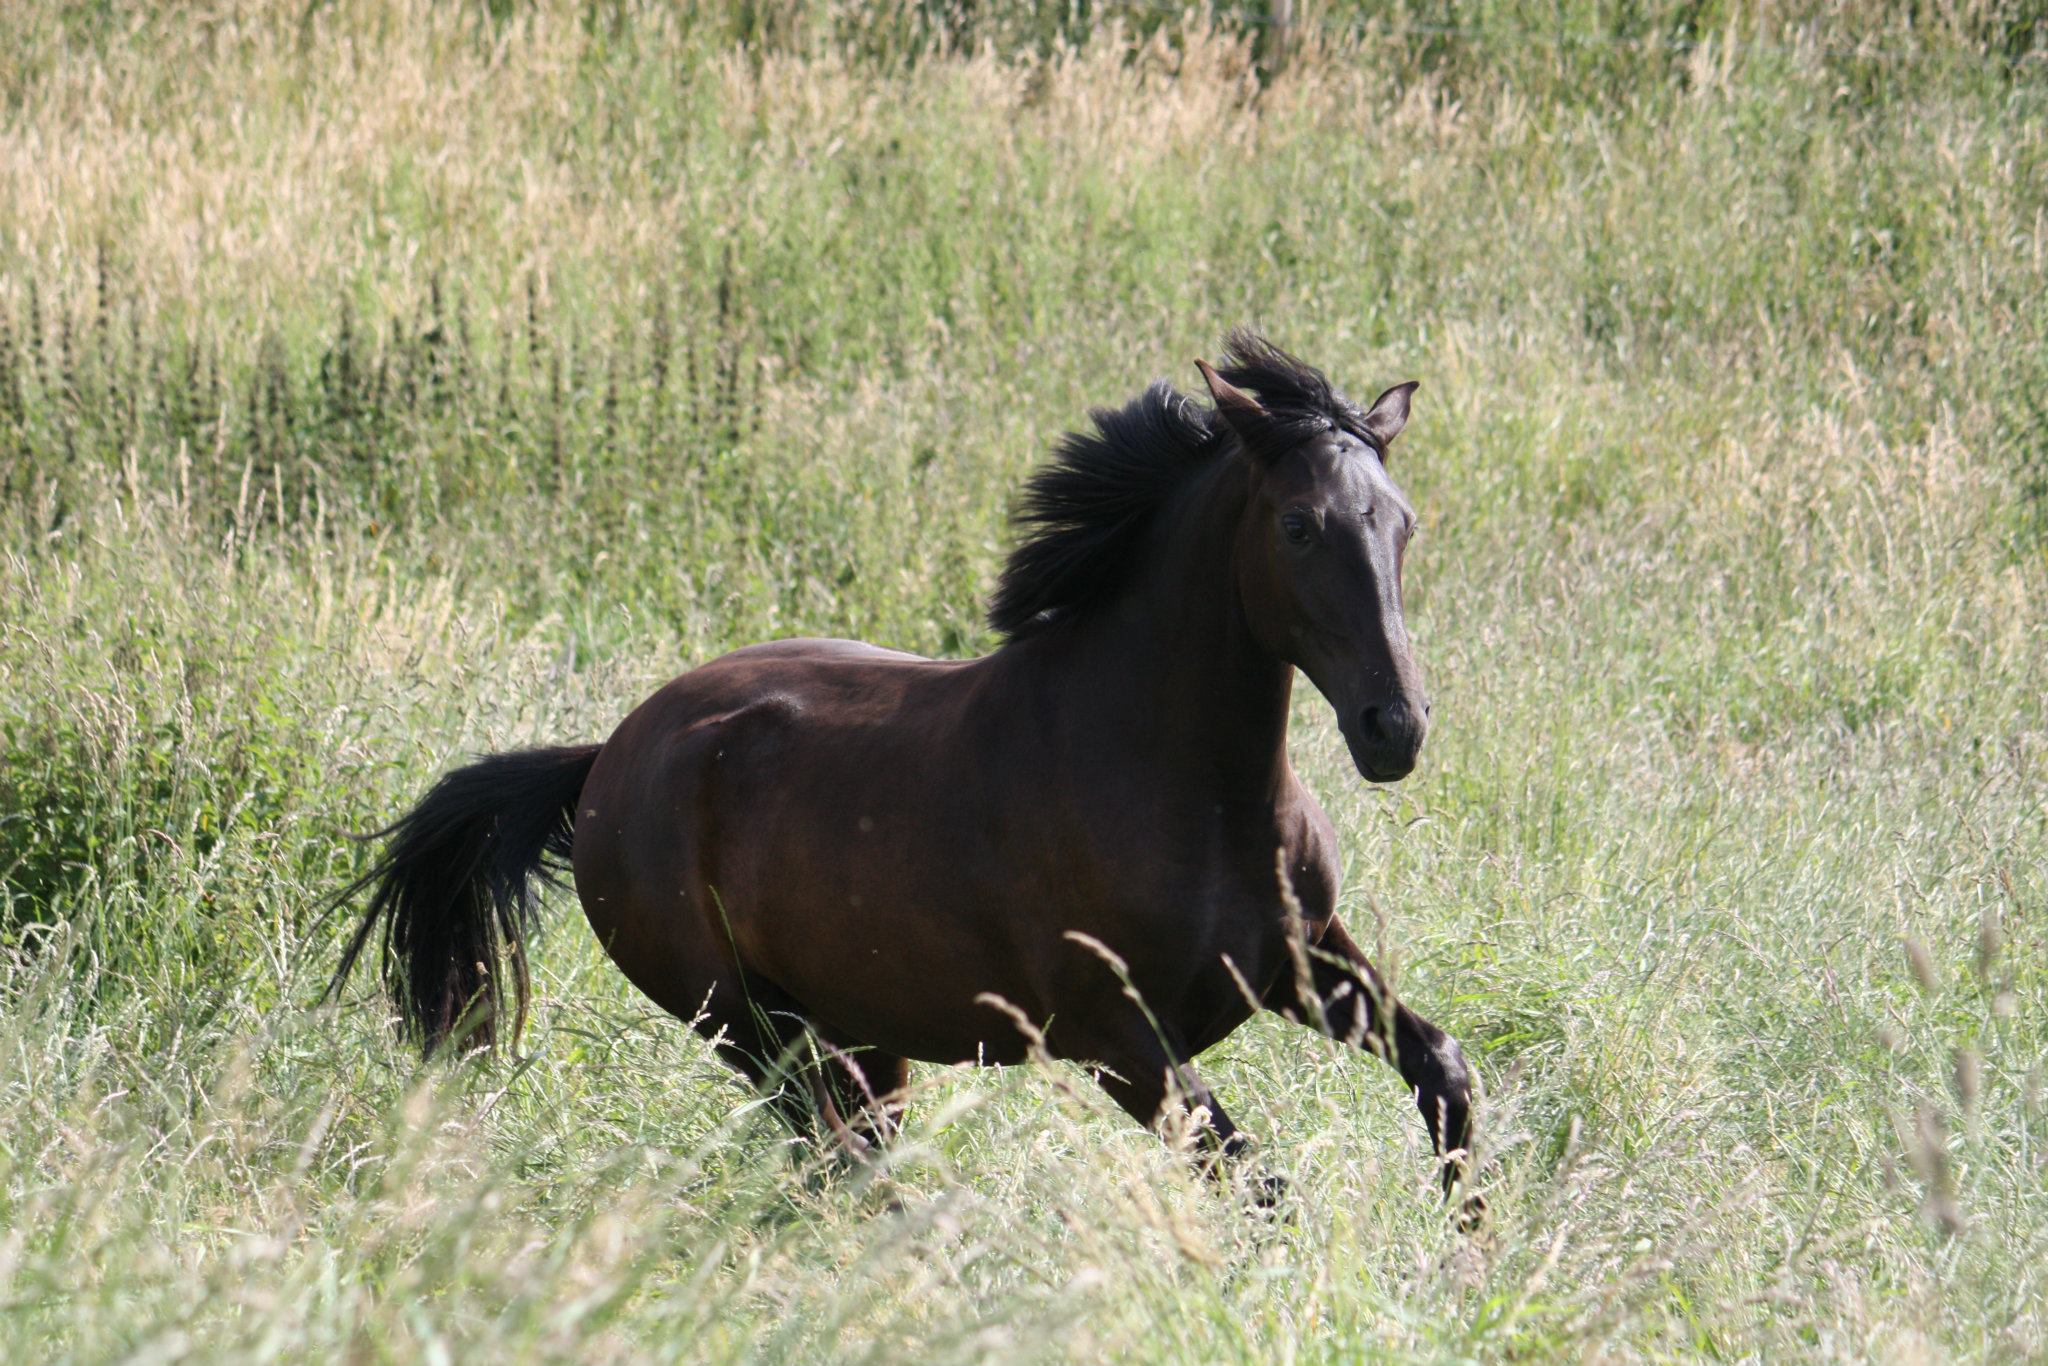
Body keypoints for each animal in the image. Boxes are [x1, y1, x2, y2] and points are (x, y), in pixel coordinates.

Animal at [327, 331, 1482, 1220]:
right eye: (1297, 525)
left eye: (1403, 521)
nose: (1394, 727)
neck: (1195, 790)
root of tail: (605, 759)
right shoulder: (1118, 1040)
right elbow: (1254, 1181)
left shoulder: (1303, 962)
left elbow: (1443, 1074)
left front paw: (1464, 1248)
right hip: (757, 1031)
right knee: (848, 1170)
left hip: (857, 1041)